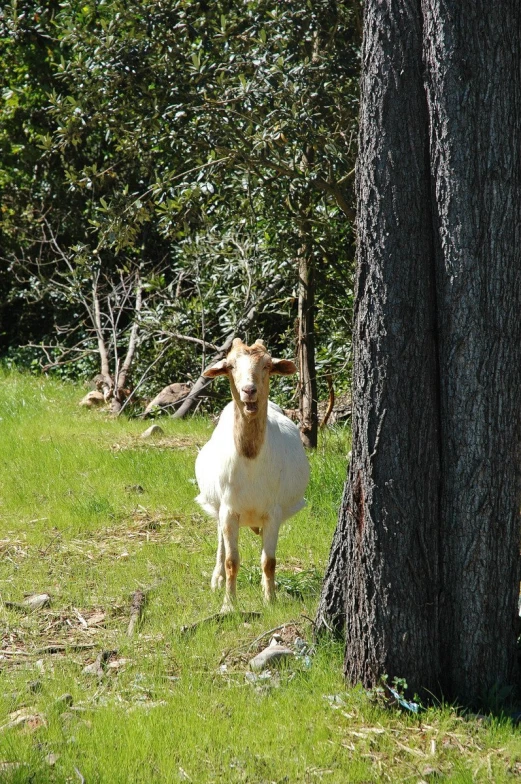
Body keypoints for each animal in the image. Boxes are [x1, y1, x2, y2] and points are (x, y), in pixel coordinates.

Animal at [195, 336, 308, 612]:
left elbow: (269, 561)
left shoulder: (273, 512)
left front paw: (270, 600)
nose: (249, 390)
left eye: (267, 365)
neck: (251, 461)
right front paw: (228, 604)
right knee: (220, 542)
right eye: (230, 366)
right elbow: (231, 560)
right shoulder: (228, 509)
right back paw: (216, 580)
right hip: (219, 507)